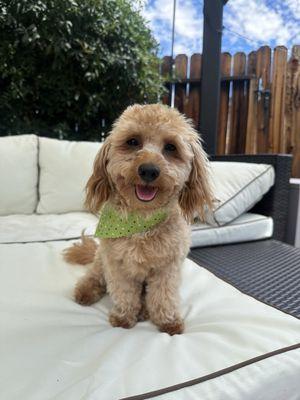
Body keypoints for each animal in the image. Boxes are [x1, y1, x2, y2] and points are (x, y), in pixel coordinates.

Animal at [63, 104, 213, 336]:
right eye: (133, 142)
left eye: (171, 147)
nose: (149, 170)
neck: (141, 220)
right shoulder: (117, 265)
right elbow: (125, 293)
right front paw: (124, 317)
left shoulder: (168, 268)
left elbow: (163, 295)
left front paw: (168, 321)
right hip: (101, 260)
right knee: (94, 276)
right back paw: (86, 291)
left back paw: (144, 311)